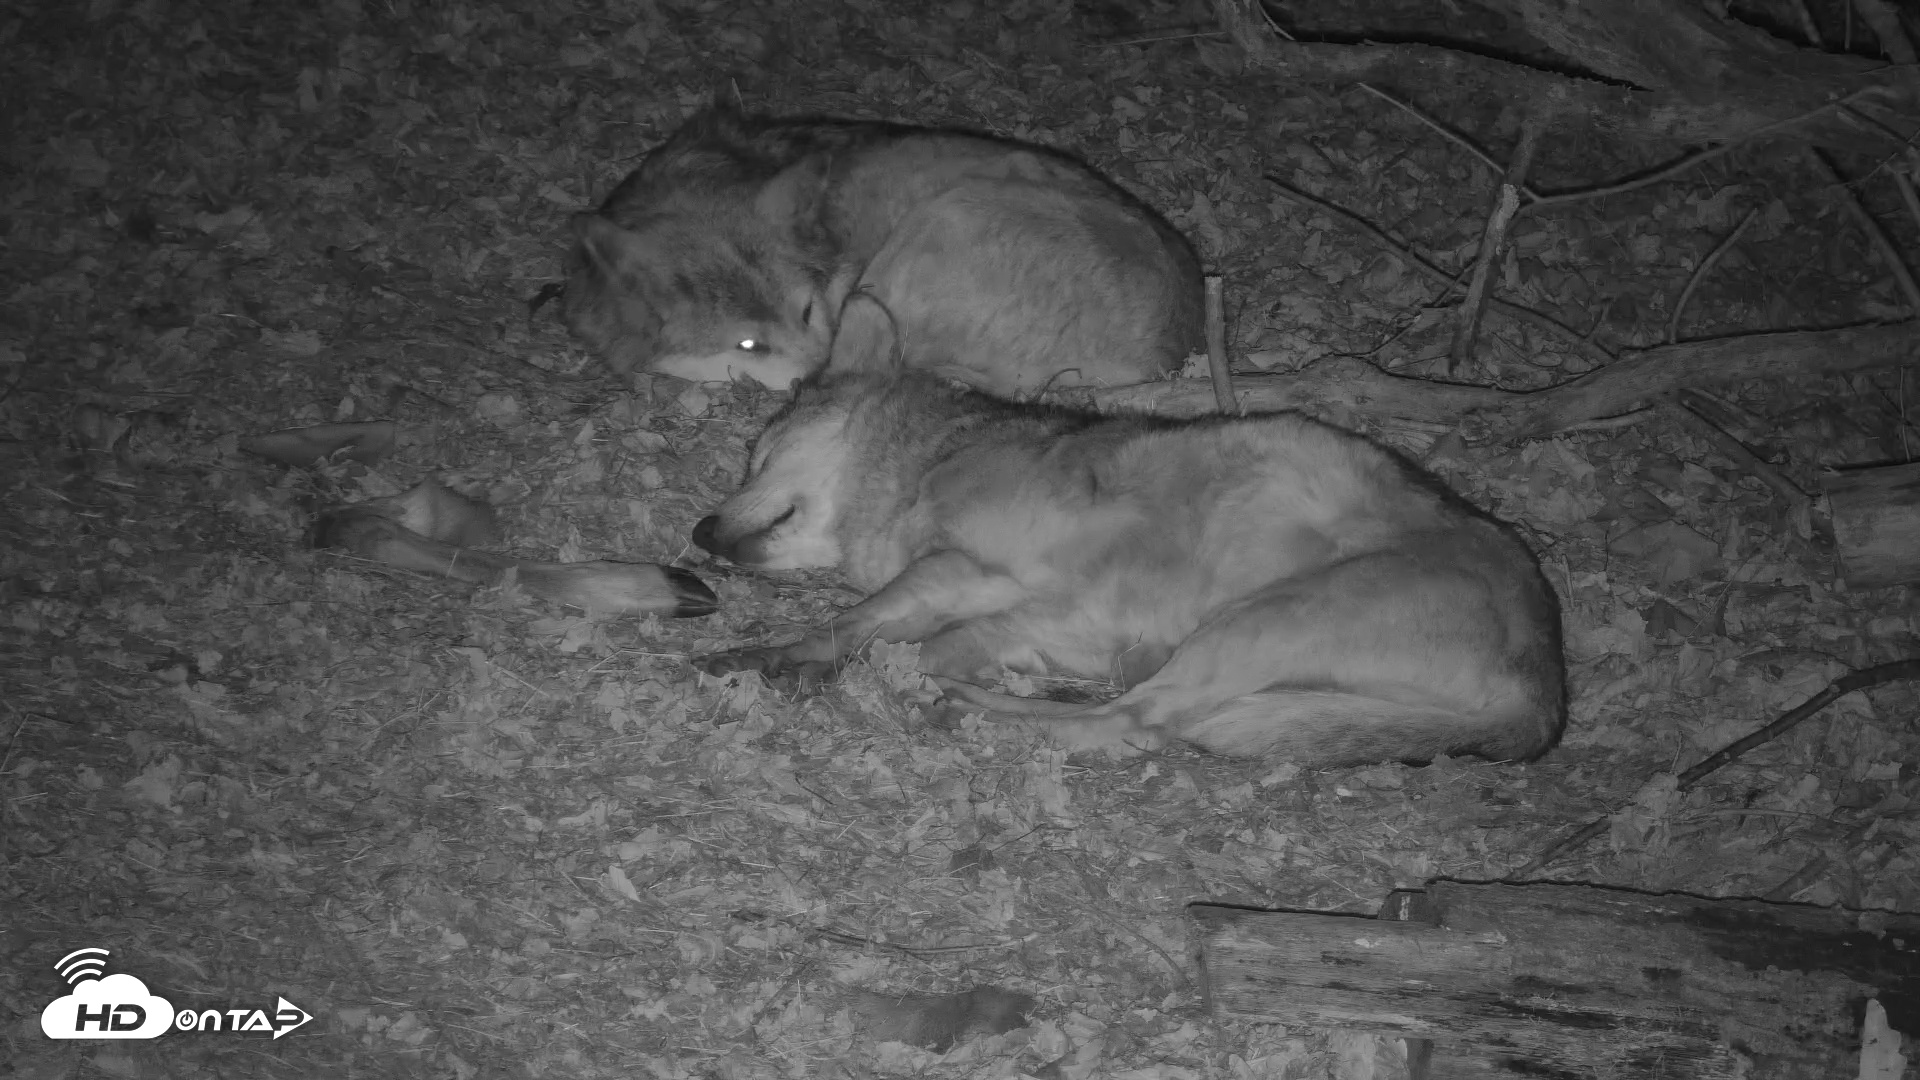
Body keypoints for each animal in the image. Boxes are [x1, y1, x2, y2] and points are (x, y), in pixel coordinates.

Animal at [688, 299, 1566, 768]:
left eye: (755, 453)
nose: (699, 530)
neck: (928, 463)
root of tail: (1546, 696)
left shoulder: (963, 573)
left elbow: (860, 626)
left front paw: (776, 658)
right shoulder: (1021, 612)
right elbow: (909, 637)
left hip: (1257, 620)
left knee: (1133, 725)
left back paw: (967, 708)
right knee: (1121, 718)